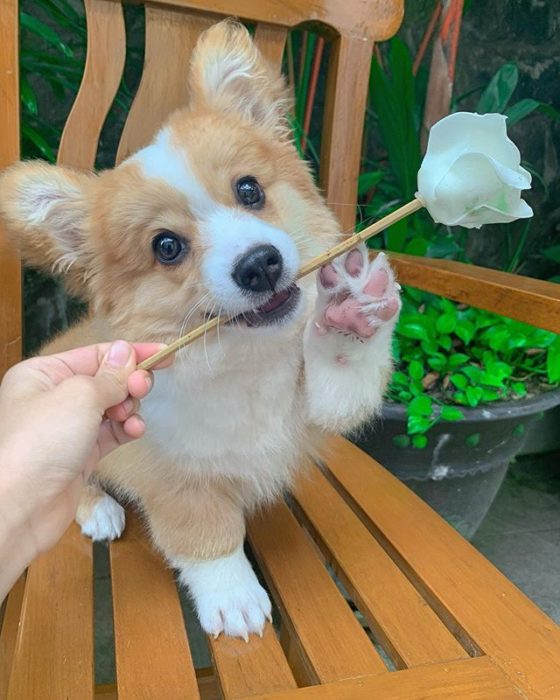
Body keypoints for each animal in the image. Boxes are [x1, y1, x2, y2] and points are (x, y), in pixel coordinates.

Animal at [1, 20, 402, 640]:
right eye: (166, 246)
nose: (260, 264)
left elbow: (342, 371)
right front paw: (234, 599)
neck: (245, 359)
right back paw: (99, 509)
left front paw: (350, 307)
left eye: (249, 190)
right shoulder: (177, 479)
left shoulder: (321, 408)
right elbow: (207, 539)